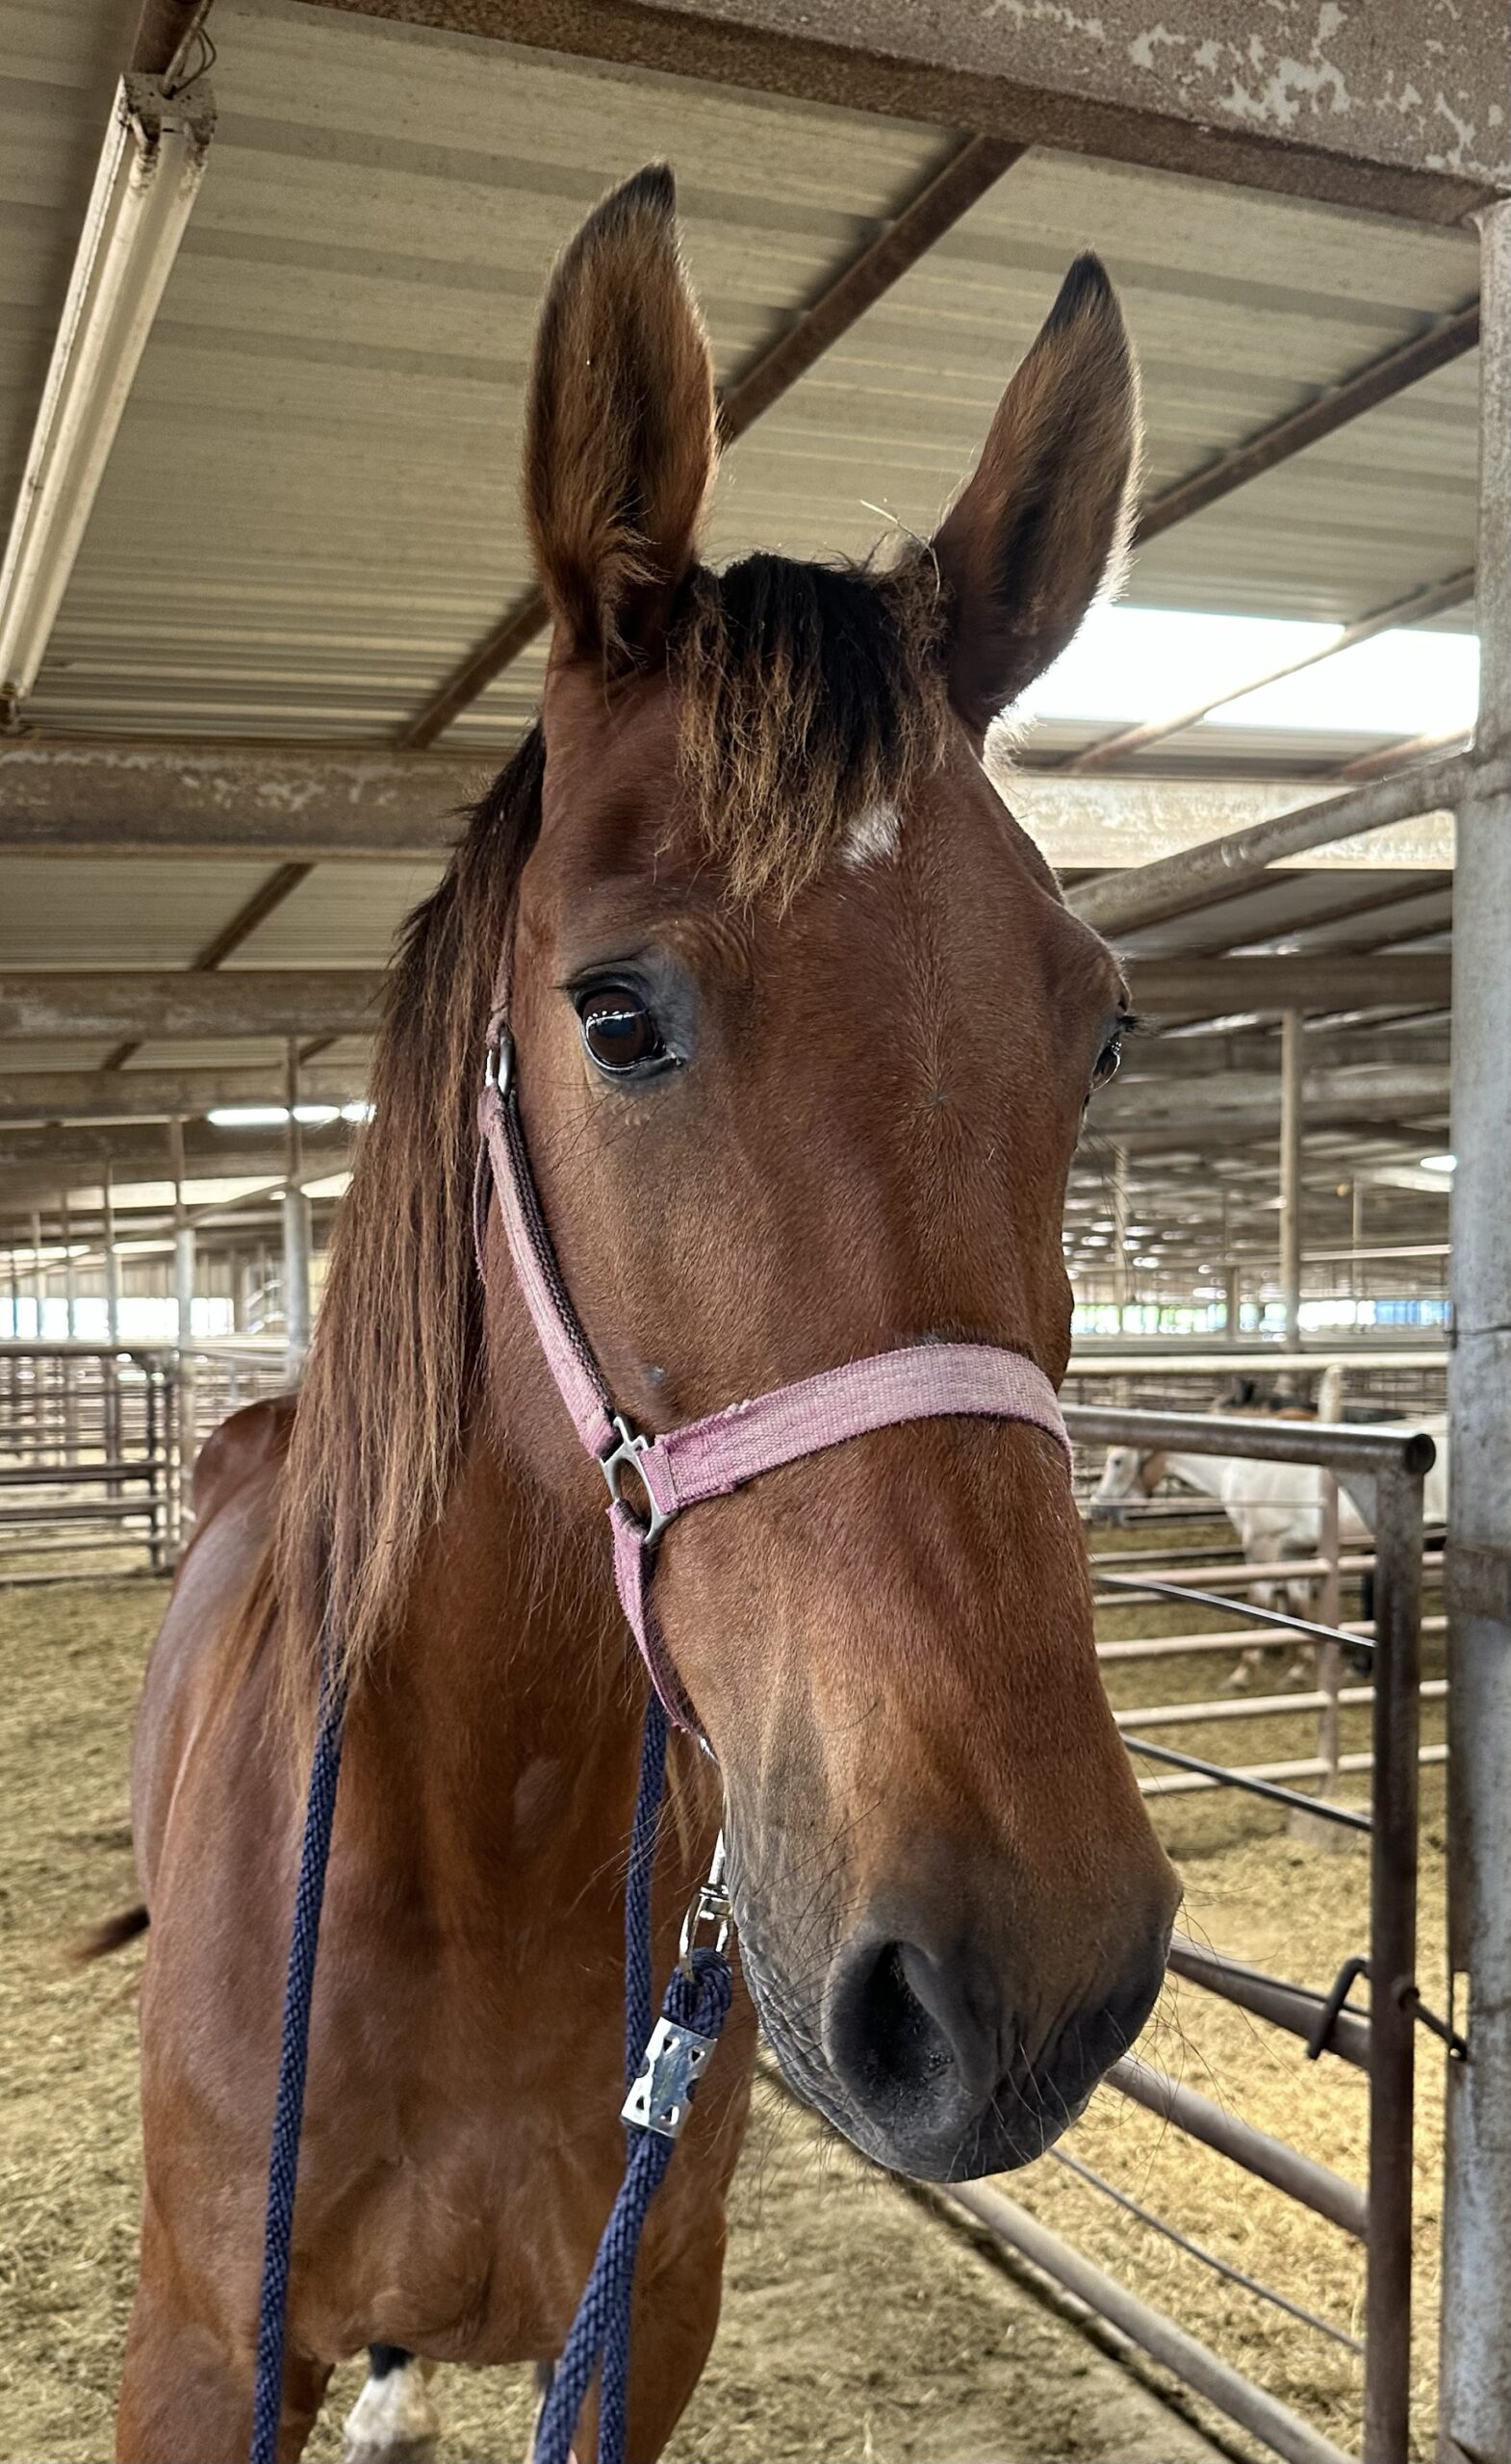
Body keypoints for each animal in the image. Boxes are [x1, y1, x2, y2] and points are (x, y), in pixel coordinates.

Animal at [109, 166, 1180, 2464]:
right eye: (613, 1013)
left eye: (1103, 1030)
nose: (1027, 1975)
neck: (471, 1862)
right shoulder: (195, 2354)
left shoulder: (636, 2337)